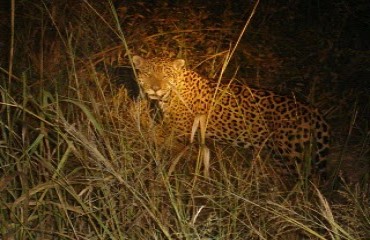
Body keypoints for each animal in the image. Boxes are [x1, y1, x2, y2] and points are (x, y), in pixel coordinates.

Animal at [132, 55, 330, 175]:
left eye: (166, 75)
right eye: (147, 74)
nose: (155, 88)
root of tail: (313, 110)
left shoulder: (181, 135)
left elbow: (157, 136)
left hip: (291, 156)